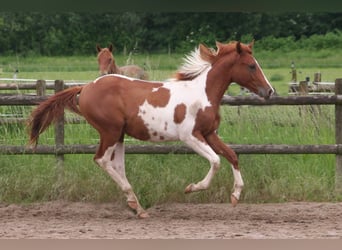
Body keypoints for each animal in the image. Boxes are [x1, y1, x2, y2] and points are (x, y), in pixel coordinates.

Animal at [30, 41, 276, 219]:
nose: (269, 91)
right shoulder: (190, 136)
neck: (203, 93)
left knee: (117, 166)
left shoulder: (209, 134)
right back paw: (133, 202)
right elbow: (216, 161)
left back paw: (138, 208)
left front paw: (235, 195)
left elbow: (232, 155)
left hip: (119, 135)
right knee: (102, 160)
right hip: (110, 131)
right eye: (252, 65)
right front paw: (191, 188)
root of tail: (87, 86)